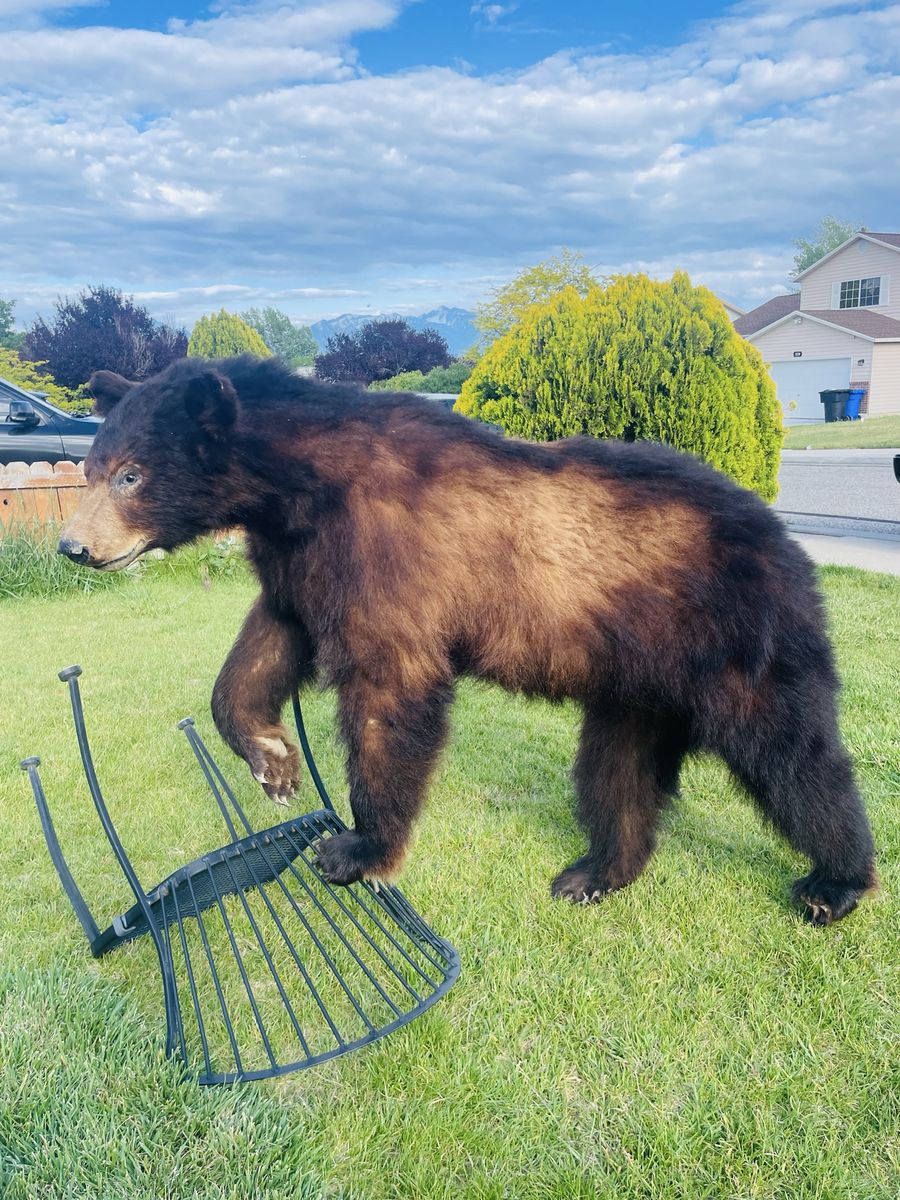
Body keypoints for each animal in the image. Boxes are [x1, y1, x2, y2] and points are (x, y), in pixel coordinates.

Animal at [58, 354, 876, 926]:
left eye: (131, 474)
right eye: (91, 469)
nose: (72, 546)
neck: (303, 483)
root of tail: (780, 530)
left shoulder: (384, 556)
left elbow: (390, 691)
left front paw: (358, 848)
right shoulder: (300, 560)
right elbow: (266, 644)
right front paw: (273, 758)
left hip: (739, 638)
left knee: (793, 756)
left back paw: (835, 883)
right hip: (635, 679)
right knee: (616, 769)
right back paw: (595, 871)